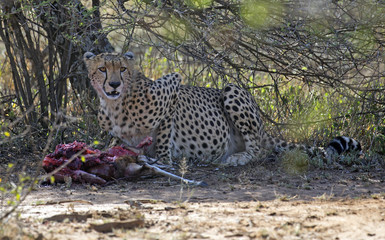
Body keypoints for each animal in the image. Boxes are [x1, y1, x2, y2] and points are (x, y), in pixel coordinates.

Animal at [83, 51, 360, 166]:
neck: (116, 104)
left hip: (231, 89)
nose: (114, 84)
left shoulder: (173, 89)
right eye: (103, 68)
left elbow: (162, 136)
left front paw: (163, 160)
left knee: (259, 150)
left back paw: (236, 159)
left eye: (123, 69)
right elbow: (121, 142)